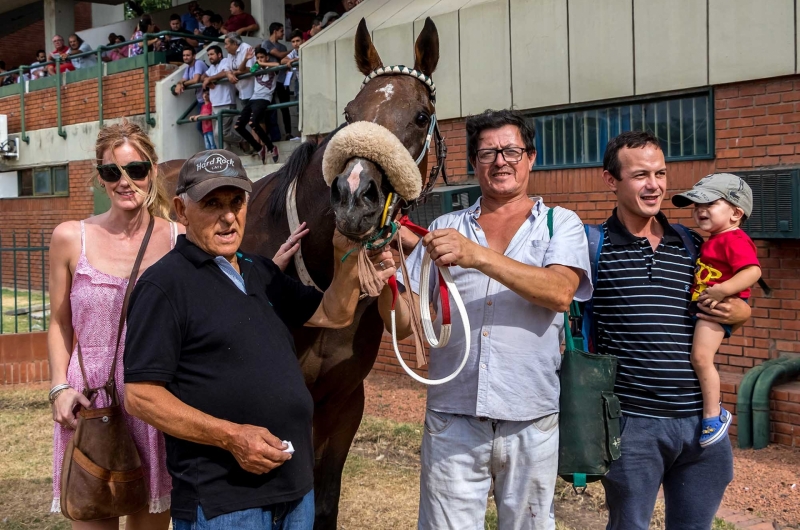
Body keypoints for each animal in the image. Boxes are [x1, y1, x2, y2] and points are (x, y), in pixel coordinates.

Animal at [160, 18, 440, 524]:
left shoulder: (344, 402)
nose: (354, 197)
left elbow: (323, 501)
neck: (321, 278)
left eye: (420, 116)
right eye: (350, 112)